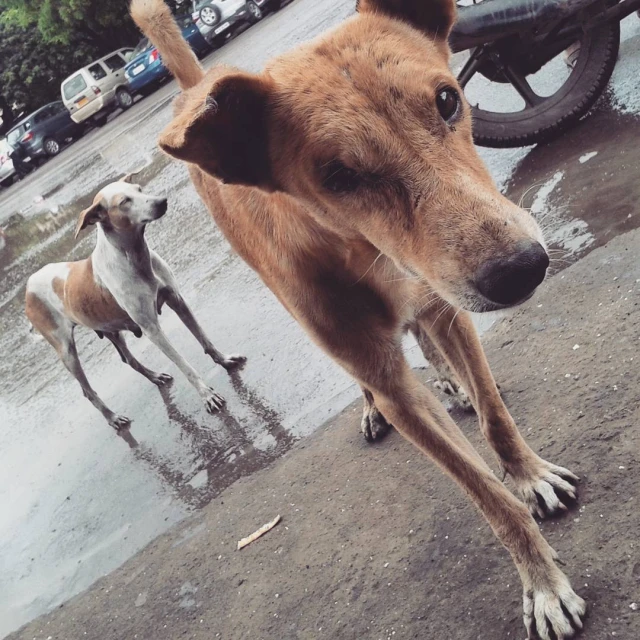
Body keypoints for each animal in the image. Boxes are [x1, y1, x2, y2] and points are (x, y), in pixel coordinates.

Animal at [25, 175, 245, 430]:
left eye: (139, 189)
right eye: (124, 202)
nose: (161, 201)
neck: (133, 256)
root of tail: (28, 286)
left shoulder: (178, 301)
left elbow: (205, 340)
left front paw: (225, 360)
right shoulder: (152, 329)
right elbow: (184, 364)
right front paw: (206, 394)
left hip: (111, 329)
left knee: (128, 359)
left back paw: (154, 377)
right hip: (67, 352)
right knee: (88, 391)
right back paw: (113, 418)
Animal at [132, 2, 588, 636]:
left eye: (448, 99)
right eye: (338, 177)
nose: (521, 270)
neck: (360, 251)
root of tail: (198, 85)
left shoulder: (449, 305)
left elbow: (495, 417)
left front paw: (529, 473)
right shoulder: (395, 385)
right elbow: (487, 496)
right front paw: (542, 583)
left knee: (425, 334)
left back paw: (451, 380)